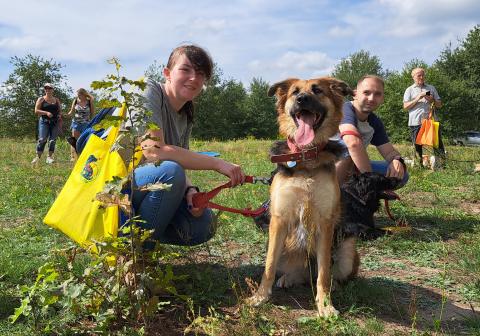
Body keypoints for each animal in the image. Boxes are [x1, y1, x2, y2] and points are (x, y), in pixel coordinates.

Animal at [248, 77, 352, 316]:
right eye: (295, 92)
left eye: (318, 90)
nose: (302, 99)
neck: (305, 156)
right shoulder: (278, 220)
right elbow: (268, 266)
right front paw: (260, 297)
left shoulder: (325, 223)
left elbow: (324, 273)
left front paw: (325, 305)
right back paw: (288, 278)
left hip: (349, 247)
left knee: (329, 273)